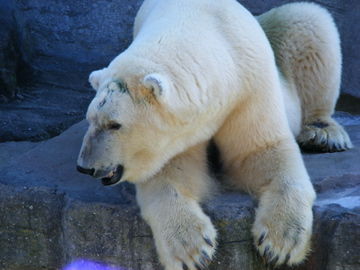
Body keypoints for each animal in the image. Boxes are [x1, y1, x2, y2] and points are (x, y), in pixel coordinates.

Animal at [76, 1, 352, 268]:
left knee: (307, 20)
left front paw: (280, 243)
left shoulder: (250, 88)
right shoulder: (182, 133)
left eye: (114, 124)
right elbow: (172, 170)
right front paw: (191, 249)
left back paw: (323, 133)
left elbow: (262, 151)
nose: (84, 167)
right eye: (90, 118)